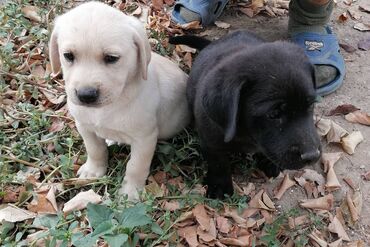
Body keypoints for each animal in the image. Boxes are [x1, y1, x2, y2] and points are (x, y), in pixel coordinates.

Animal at [48, 1, 188, 199]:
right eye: (68, 56)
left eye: (111, 58)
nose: (86, 95)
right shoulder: (84, 127)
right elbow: (95, 150)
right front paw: (93, 170)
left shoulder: (145, 138)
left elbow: (136, 166)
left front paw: (130, 192)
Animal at [170, 31, 320, 199]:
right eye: (273, 114)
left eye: (311, 105)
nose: (312, 156)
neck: (246, 133)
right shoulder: (210, 139)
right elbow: (219, 163)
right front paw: (220, 186)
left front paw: (270, 163)